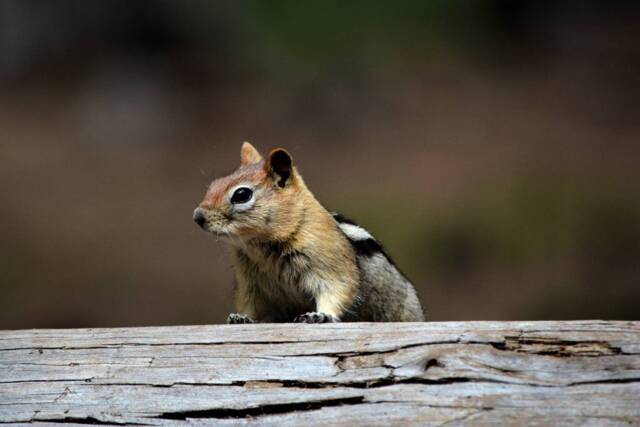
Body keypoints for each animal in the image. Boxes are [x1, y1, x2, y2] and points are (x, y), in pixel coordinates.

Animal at [193, 142, 425, 323]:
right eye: (213, 185)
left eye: (241, 194)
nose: (198, 217)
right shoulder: (249, 283)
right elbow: (251, 304)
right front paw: (241, 318)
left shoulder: (331, 263)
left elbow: (338, 289)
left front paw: (320, 315)